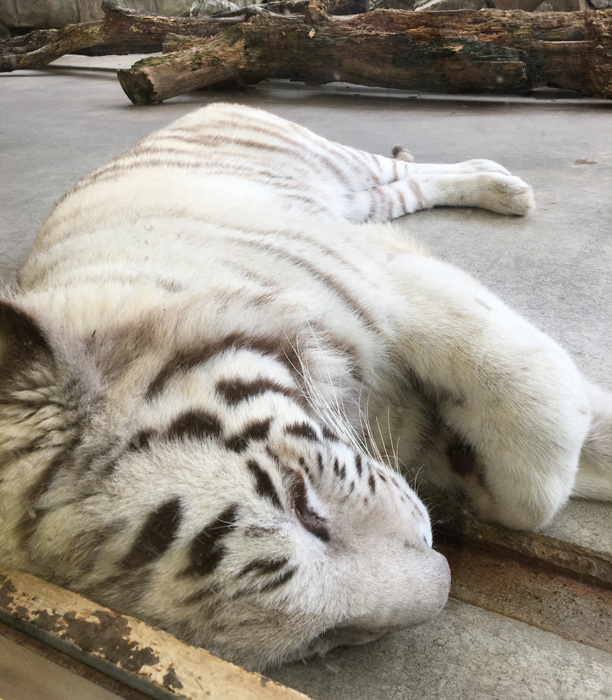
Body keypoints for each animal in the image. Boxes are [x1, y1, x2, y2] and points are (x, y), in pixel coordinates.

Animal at [0, 102, 608, 668]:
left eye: (303, 506)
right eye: (321, 638)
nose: (444, 581)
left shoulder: (393, 279)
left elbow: (541, 435)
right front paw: (465, 460)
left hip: (337, 165)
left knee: (404, 169)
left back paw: (506, 188)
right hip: (362, 200)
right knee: (403, 189)